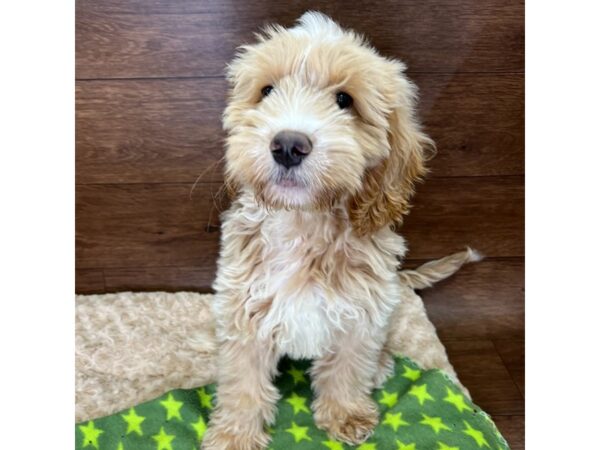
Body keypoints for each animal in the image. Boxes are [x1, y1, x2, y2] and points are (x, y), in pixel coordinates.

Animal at [202, 12, 478, 448]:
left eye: (344, 100)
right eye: (267, 91)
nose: (288, 145)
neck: (304, 222)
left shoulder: (361, 314)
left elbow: (348, 366)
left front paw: (345, 414)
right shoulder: (243, 307)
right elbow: (242, 380)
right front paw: (234, 434)